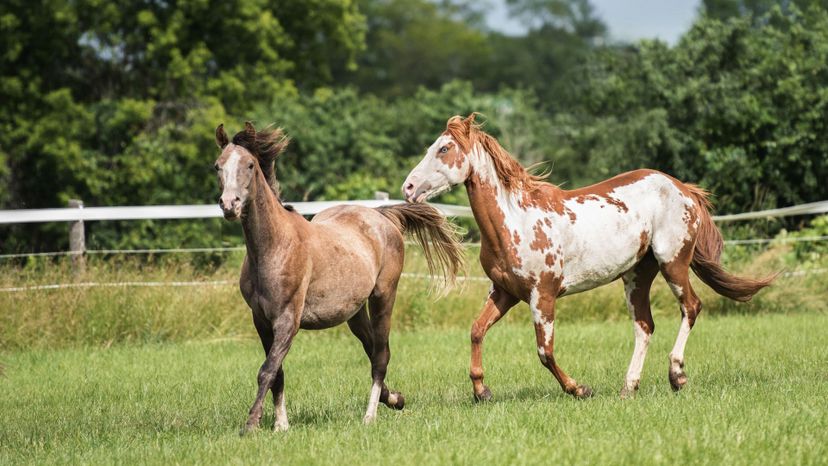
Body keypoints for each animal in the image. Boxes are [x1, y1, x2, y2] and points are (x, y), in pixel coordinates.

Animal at [213, 121, 462, 434]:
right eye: (217, 166)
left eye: (249, 164)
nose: (229, 205)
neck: (274, 246)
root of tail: (382, 217)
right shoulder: (260, 320)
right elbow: (277, 372)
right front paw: (281, 425)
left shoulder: (288, 319)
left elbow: (266, 370)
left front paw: (251, 425)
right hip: (354, 312)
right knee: (371, 349)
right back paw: (395, 398)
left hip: (383, 297)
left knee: (381, 356)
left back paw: (370, 416)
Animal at [402, 113, 776, 400]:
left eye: (444, 148)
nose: (408, 187)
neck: (515, 219)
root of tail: (683, 188)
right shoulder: (505, 292)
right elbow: (476, 331)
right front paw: (482, 391)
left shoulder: (543, 295)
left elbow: (544, 352)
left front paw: (579, 389)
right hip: (638, 274)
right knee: (644, 326)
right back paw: (628, 388)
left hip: (673, 263)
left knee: (691, 308)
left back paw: (677, 376)